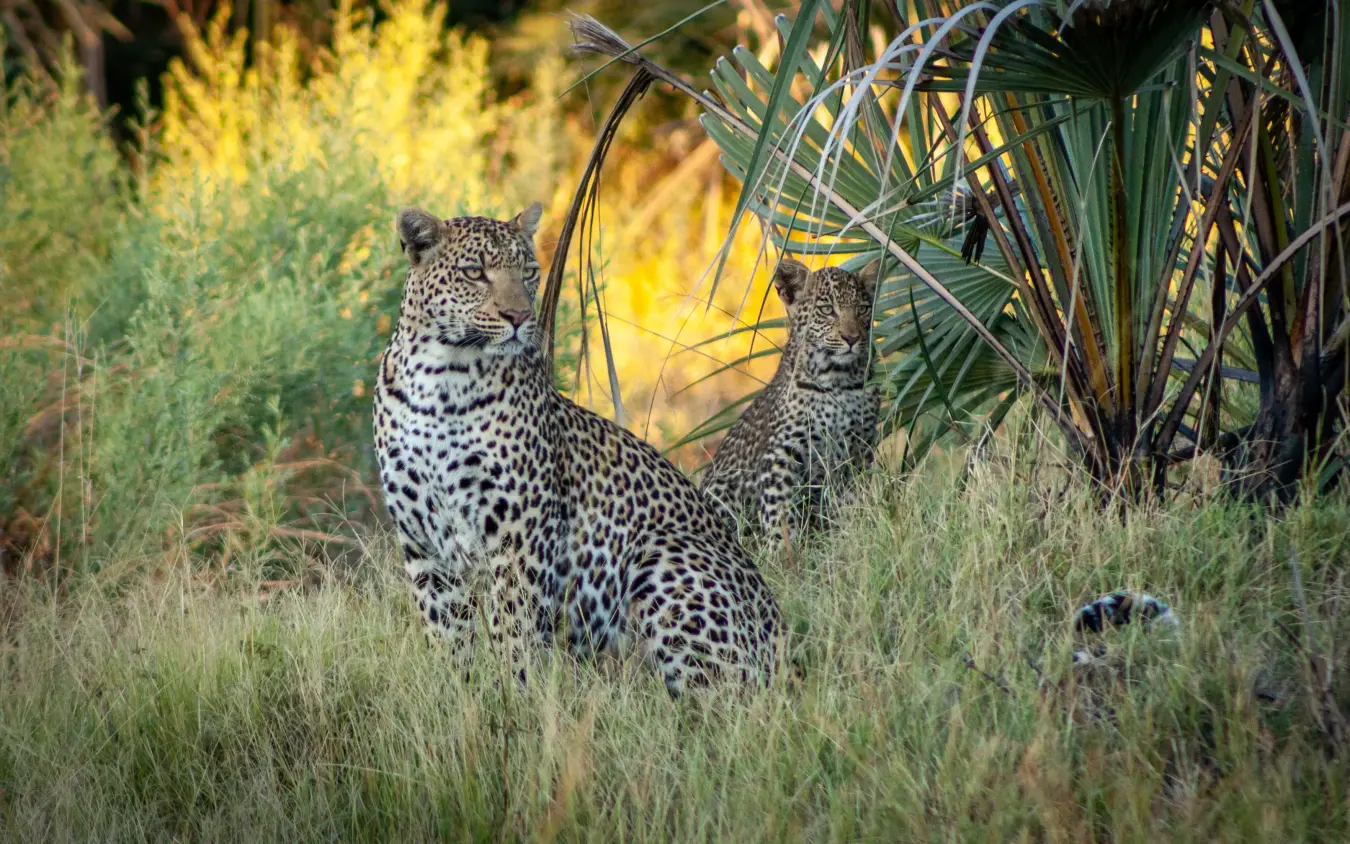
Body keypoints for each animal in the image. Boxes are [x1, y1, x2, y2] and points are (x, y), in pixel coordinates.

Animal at [372, 203, 782, 696]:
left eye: (529, 272)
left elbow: (515, 629)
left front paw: (517, 698)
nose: (518, 317)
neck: (440, 381)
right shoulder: (421, 541)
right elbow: (446, 632)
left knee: (722, 691)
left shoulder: (521, 530)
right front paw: (459, 695)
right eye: (474, 272)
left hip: (663, 555)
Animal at [700, 256, 882, 541]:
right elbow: (779, 513)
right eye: (827, 310)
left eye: (862, 309)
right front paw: (783, 549)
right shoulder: (782, 453)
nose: (852, 338)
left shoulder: (859, 448)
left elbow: (853, 500)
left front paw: (851, 532)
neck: (838, 380)